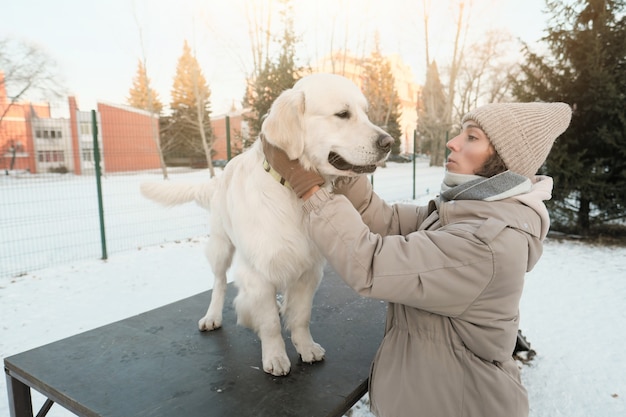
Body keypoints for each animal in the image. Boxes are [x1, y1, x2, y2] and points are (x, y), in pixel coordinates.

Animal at [141, 73, 390, 376]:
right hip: (220, 247)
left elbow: (302, 316)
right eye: (343, 114)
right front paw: (275, 356)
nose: (389, 142)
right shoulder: (258, 271)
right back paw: (213, 316)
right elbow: (269, 322)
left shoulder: (309, 270)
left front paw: (305, 346)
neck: (293, 196)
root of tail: (219, 177)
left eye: (365, 113)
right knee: (219, 283)